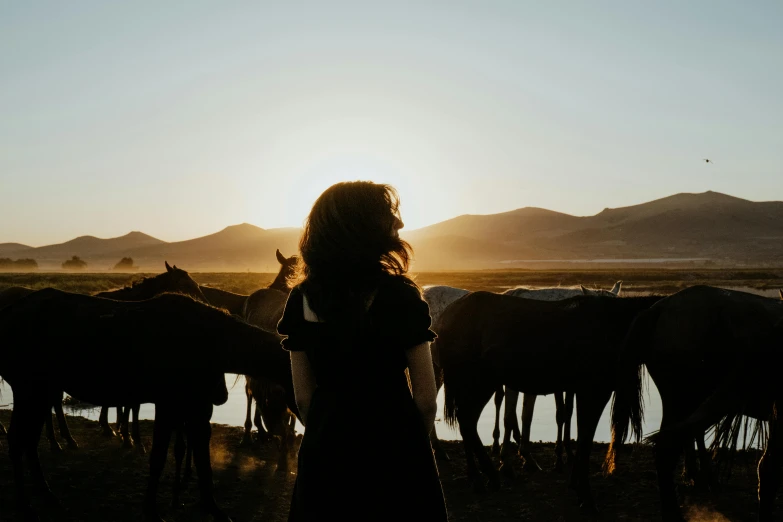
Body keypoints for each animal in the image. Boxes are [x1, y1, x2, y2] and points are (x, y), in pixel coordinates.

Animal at [438, 290, 660, 510]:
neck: (612, 325)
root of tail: (448, 314)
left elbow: (580, 435)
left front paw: (575, 483)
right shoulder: (592, 392)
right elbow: (585, 440)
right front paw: (585, 495)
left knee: (466, 423)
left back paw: (482, 477)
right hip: (479, 384)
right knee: (467, 422)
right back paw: (484, 477)